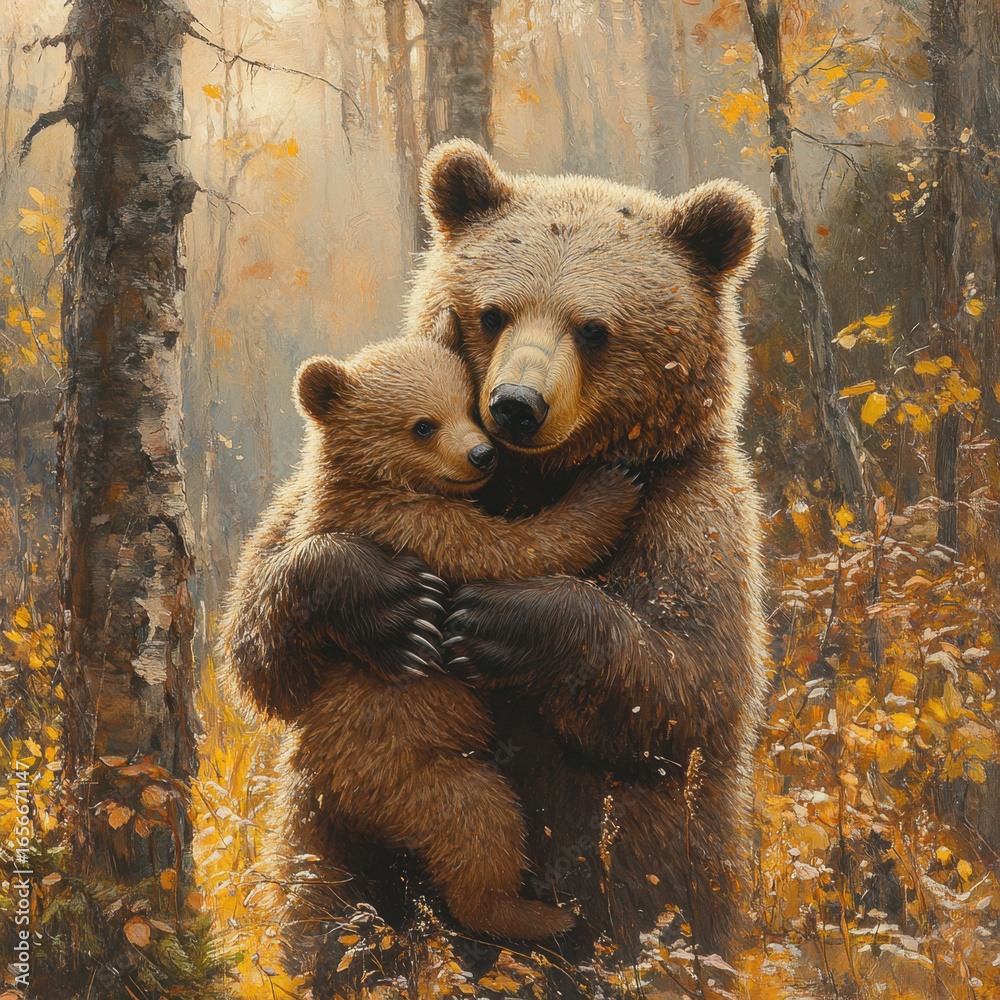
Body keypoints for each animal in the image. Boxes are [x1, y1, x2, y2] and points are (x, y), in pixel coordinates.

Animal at [220, 328, 642, 951]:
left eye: (468, 404)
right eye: (423, 425)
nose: (483, 454)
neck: (376, 482)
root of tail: (327, 792)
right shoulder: (416, 527)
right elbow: (514, 550)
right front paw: (609, 486)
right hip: (406, 775)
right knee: (480, 820)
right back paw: (535, 914)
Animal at [390, 140, 770, 967]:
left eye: (593, 328)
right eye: (492, 312)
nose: (515, 406)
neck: (539, 478)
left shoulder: (689, 509)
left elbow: (688, 680)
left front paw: (502, 620)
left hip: (664, 869)